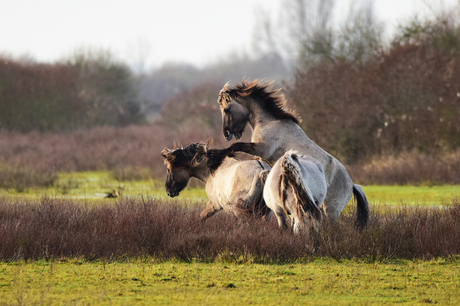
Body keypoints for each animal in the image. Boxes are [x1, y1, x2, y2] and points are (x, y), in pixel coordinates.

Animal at [208, 80, 370, 228]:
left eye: (227, 109)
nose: (227, 134)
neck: (268, 122)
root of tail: (351, 185)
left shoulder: (262, 149)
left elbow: (235, 146)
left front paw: (214, 156)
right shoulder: (261, 154)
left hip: (331, 210)